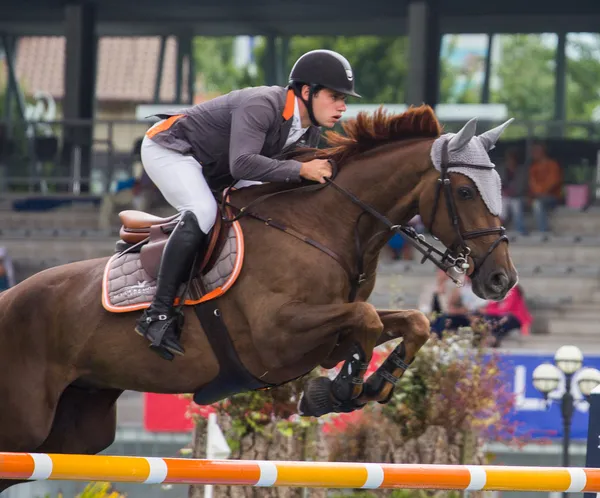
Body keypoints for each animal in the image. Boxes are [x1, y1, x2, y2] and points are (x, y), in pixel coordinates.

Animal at [0, 105, 516, 490]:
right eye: (465, 190)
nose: (501, 281)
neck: (325, 225)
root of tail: (9, 298)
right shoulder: (276, 336)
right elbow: (367, 318)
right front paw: (340, 389)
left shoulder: (323, 334)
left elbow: (411, 321)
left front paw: (375, 384)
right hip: (28, 421)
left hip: (75, 430)